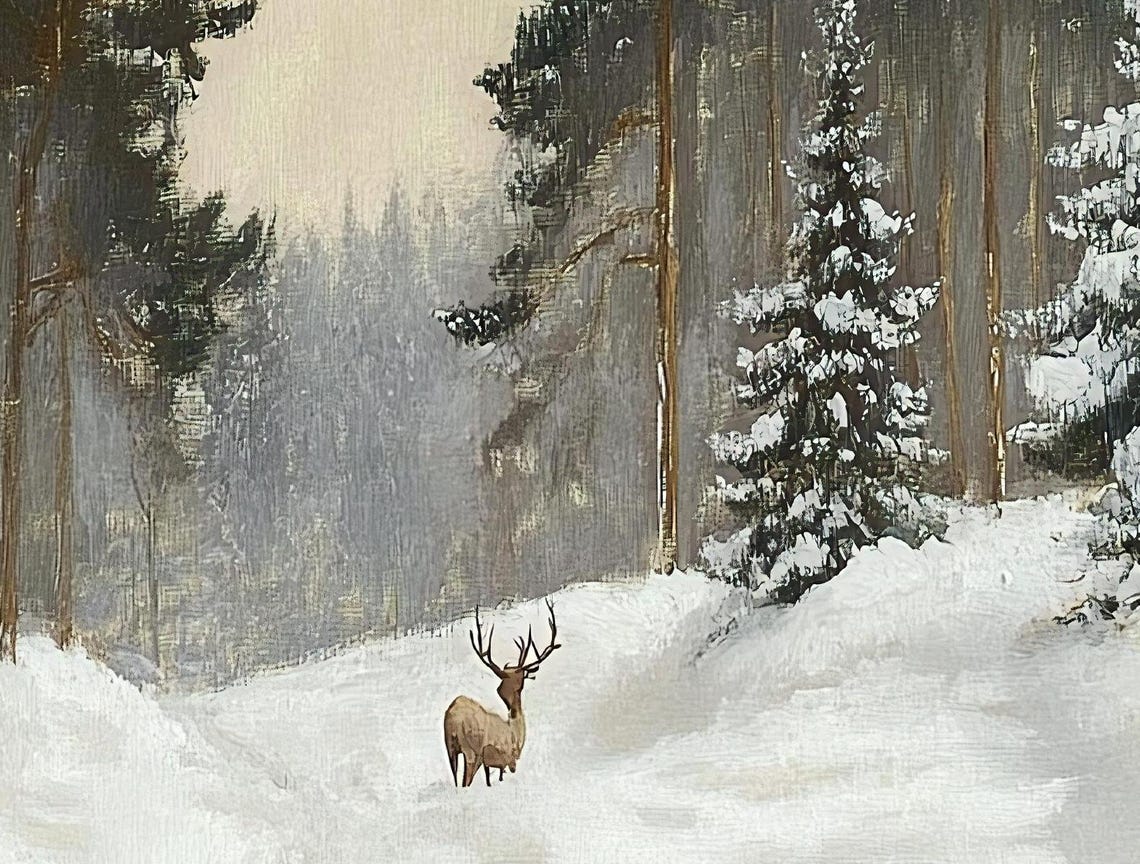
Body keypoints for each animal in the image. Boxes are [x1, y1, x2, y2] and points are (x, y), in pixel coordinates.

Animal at [443, 599, 561, 788]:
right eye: (521, 680)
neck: (516, 733)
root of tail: (454, 720)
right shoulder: (507, 759)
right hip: (472, 749)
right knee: (466, 781)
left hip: (450, 748)